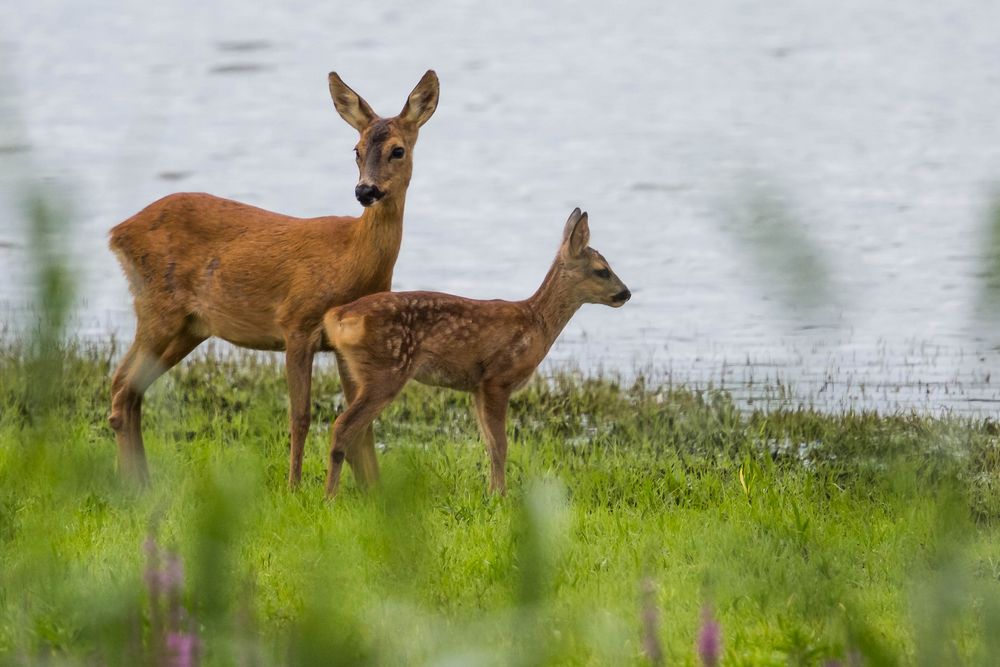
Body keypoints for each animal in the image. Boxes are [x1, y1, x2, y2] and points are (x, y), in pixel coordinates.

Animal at [107, 70, 440, 488]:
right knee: (122, 386)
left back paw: (142, 482)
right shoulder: (296, 323)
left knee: (131, 388)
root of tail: (117, 232)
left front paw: (372, 490)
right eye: (356, 149)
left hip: (190, 326)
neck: (351, 258)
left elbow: (362, 426)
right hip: (157, 308)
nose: (365, 190)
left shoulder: (347, 343)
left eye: (398, 150)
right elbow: (301, 416)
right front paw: (294, 487)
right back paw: (135, 485)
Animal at [324, 209, 628, 496]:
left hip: (361, 372)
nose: (626, 293)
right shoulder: (498, 377)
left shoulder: (478, 387)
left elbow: (490, 445)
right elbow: (501, 445)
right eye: (602, 270)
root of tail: (338, 315)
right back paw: (330, 496)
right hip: (386, 370)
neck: (536, 324)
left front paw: (493, 492)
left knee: (355, 431)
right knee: (342, 426)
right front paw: (501, 495)